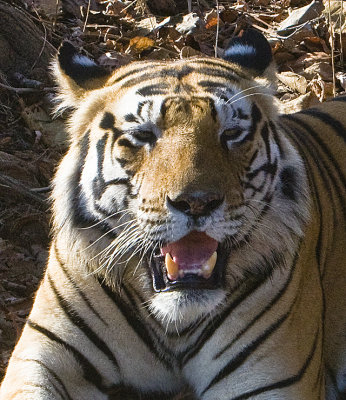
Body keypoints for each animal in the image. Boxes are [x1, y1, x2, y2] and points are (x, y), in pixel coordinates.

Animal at [0, 28, 346, 400]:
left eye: (231, 134)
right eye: (142, 135)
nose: (197, 202)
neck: (174, 323)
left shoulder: (273, 378)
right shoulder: (40, 358)